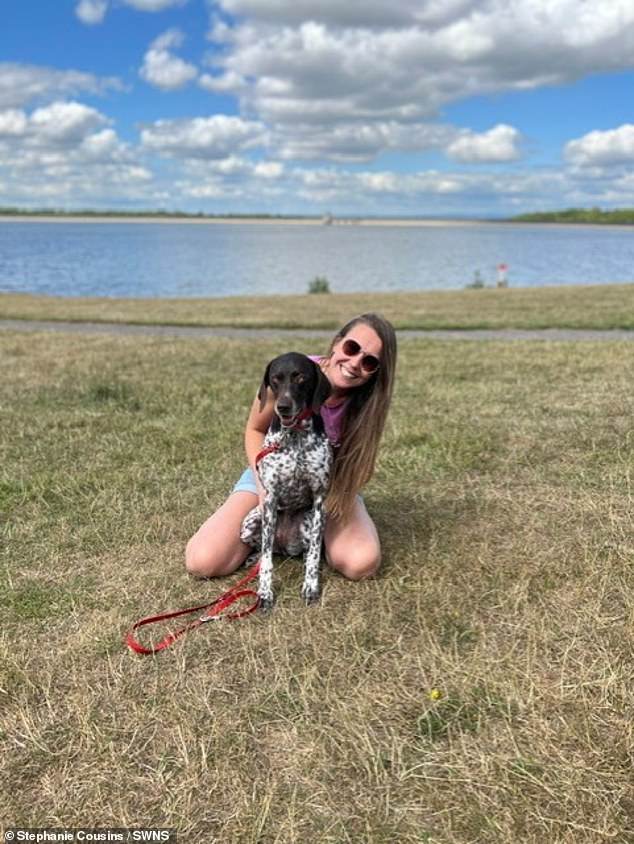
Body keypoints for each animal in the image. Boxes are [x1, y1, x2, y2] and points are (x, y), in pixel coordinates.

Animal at [239, 352, 334, 608]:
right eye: (275, 379)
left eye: (300, 377)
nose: (283, 406)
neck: (294, 436)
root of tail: (283, 546)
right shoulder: (270, 499)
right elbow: (267, 561)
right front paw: (264, 592)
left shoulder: (319, 501)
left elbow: (314, 555)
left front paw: (310, 586)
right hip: (250, 522)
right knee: (265, 551)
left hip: (310, 521)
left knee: (307, 552)